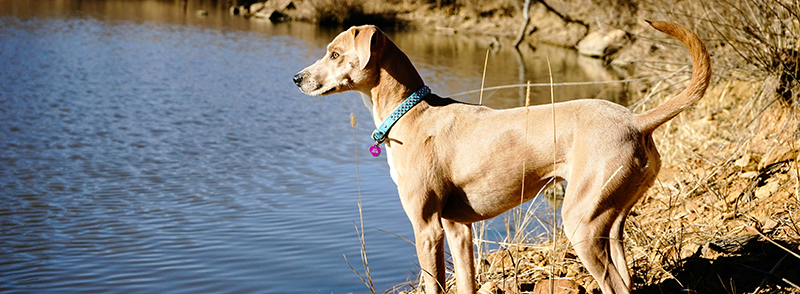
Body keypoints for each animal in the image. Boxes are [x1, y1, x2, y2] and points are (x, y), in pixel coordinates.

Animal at [292, 21, 712, 294]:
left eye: (334, 54)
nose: (297, 78)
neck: (410, 113)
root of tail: (637, 120)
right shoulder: (457, 228)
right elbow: (466, 283)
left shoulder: (426, 226)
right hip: (610, 220)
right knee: (624, 275)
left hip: (580, 219)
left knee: (614, 285)